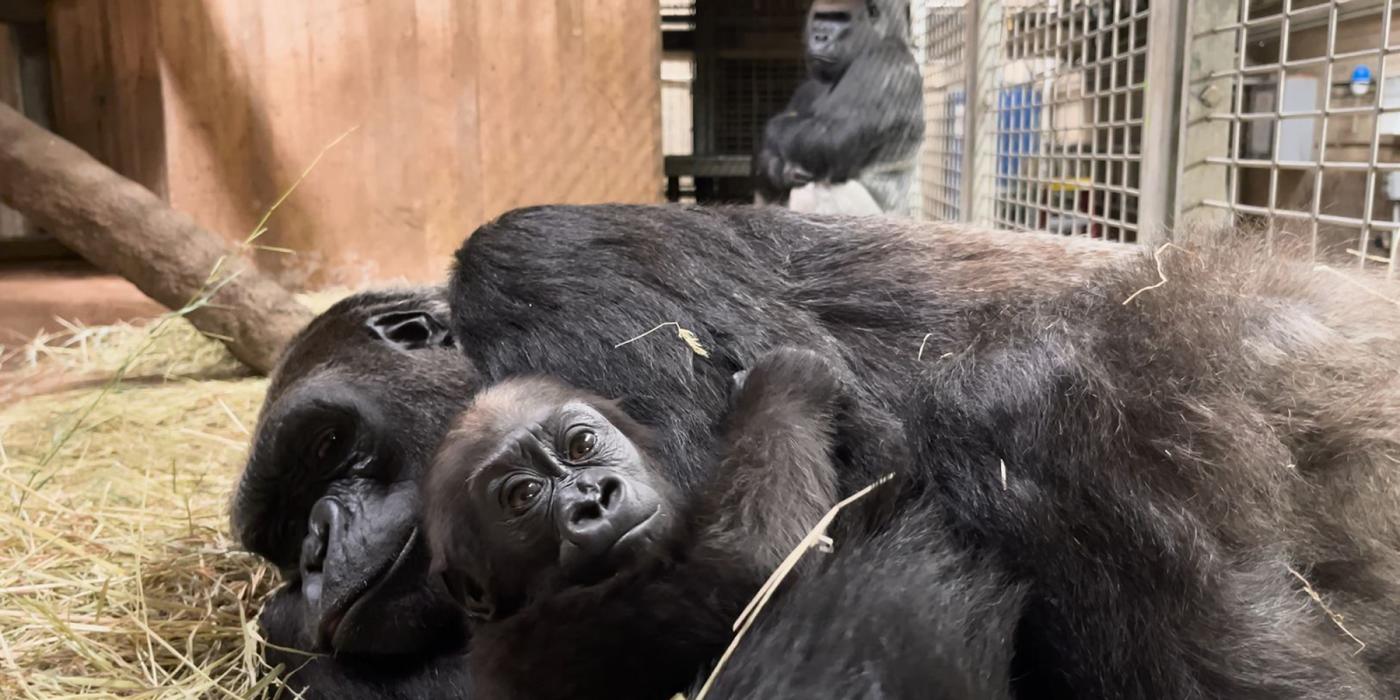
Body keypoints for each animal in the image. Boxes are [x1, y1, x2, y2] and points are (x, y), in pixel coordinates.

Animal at [417, 347, 851, 697]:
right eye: (524, 495)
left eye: (582, 445)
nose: (592, 499)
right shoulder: (552, 637)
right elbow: (749, 560)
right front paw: (785, 383)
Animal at [756, 0, 929, 214]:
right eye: (820, 17)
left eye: (839, 18)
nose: (820, 36)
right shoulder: (808, 87)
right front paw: (776, 168)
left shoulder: (886, 62)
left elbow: (833, 139)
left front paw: (773, 127)